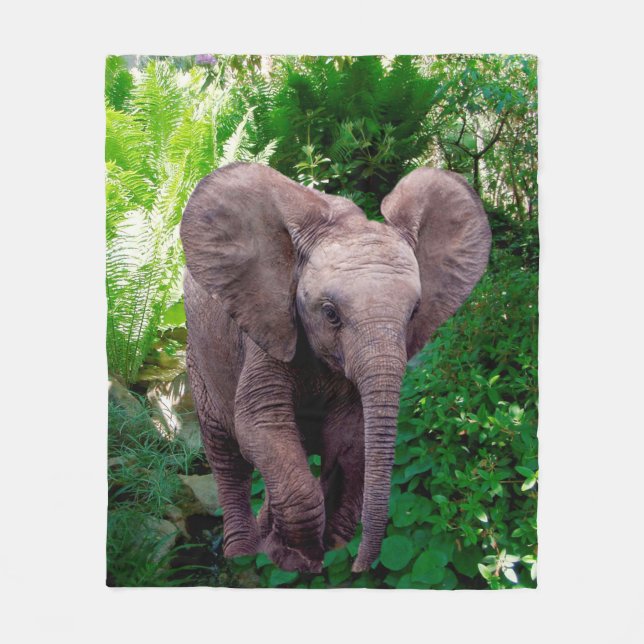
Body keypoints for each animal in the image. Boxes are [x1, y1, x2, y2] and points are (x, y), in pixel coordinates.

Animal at [180, 162, 491, 574]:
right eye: (330, 314)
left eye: (413, 313)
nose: (360, 568)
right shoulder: (268, 328)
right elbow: (260, 425)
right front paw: (299, 559)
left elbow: (348, 436)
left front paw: (321, 548)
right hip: (198, 355)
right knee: (227, 454)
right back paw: (243, 553)